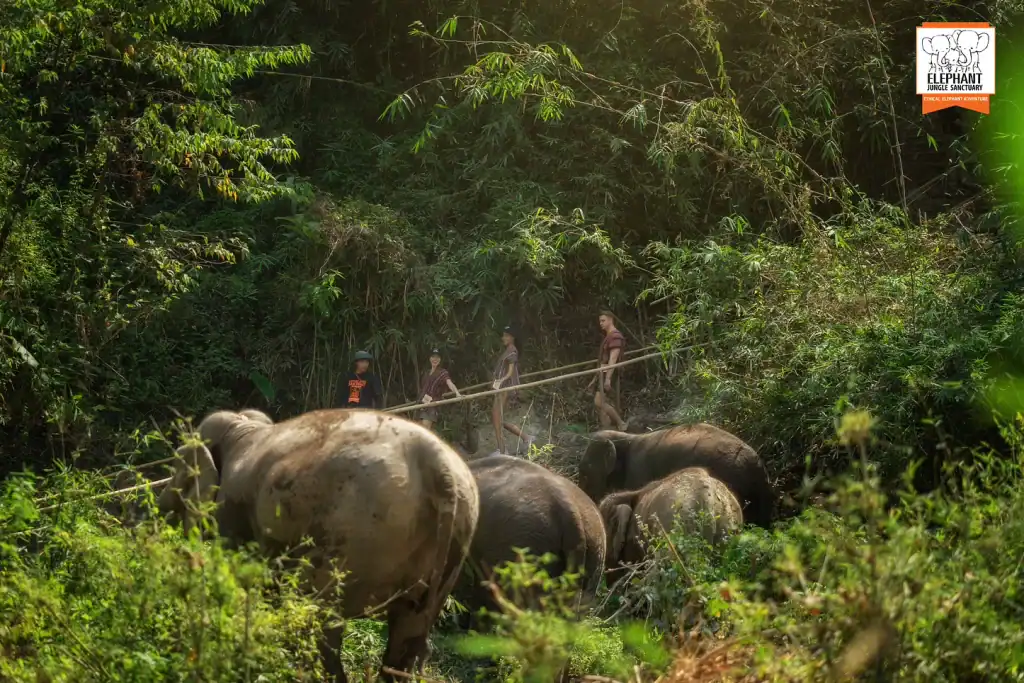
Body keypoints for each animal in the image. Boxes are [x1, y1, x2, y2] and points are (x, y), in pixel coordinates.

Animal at [156, 408, 481, 683]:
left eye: (176, 469)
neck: (242, 426)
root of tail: (440, 468)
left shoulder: (232, 511)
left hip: (351, 536)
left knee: (322, 623)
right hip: (451, 549)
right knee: (408, 632)